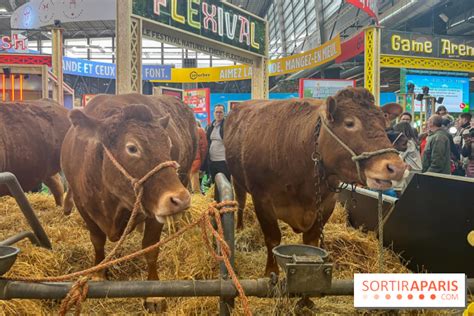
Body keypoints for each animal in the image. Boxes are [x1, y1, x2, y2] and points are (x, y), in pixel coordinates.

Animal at [60, 94, 196, 306]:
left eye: (168, 144)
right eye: (132, 148)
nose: (180, 199)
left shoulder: (154, 212)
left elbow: (150, 248)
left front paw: (155, 294)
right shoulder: (83, 206)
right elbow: (97, 241)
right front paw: (99, 273)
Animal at [224, 87, 406, 276]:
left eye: (384, 124)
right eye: (349, 123)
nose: (397, 167)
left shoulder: (327, 203)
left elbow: (311, 242)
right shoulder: (262, 199)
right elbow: (273, 239)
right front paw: (270, 272)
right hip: (237, 180)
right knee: (240, 203)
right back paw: (239, 229)